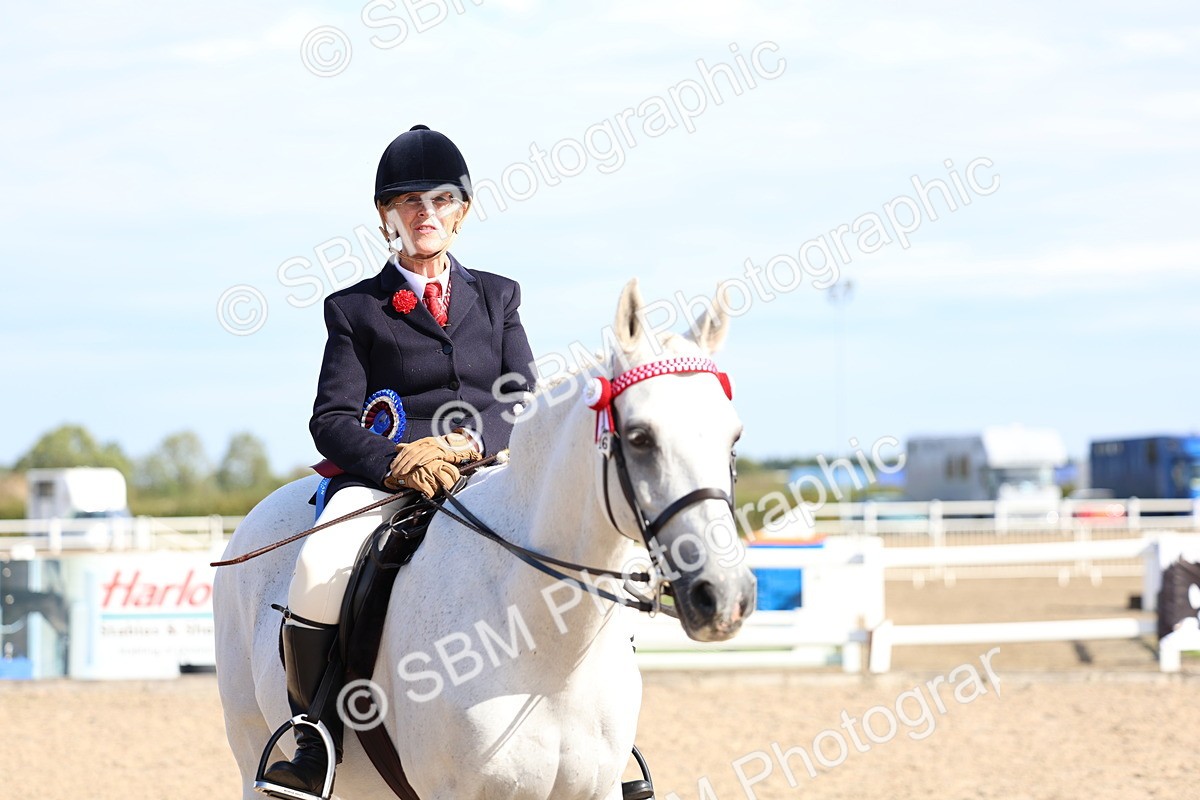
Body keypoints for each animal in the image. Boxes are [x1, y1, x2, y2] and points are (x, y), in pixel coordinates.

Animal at [213, 279, 757, 800]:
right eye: (641, 438)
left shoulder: (596, 791)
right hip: (249, 753)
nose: (724, 596)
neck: (549, 647)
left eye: (734, 437)